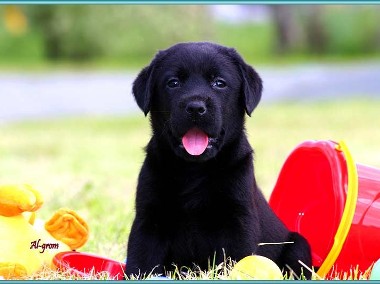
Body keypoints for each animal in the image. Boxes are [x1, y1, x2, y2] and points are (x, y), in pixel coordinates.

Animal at [126, 41, 310, 278]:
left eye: (219, 83)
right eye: (173, 83)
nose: (196, 107)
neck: (193, 170)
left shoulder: (238, 221)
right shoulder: (149, 220)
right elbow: (140, 260)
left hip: (298, 245)